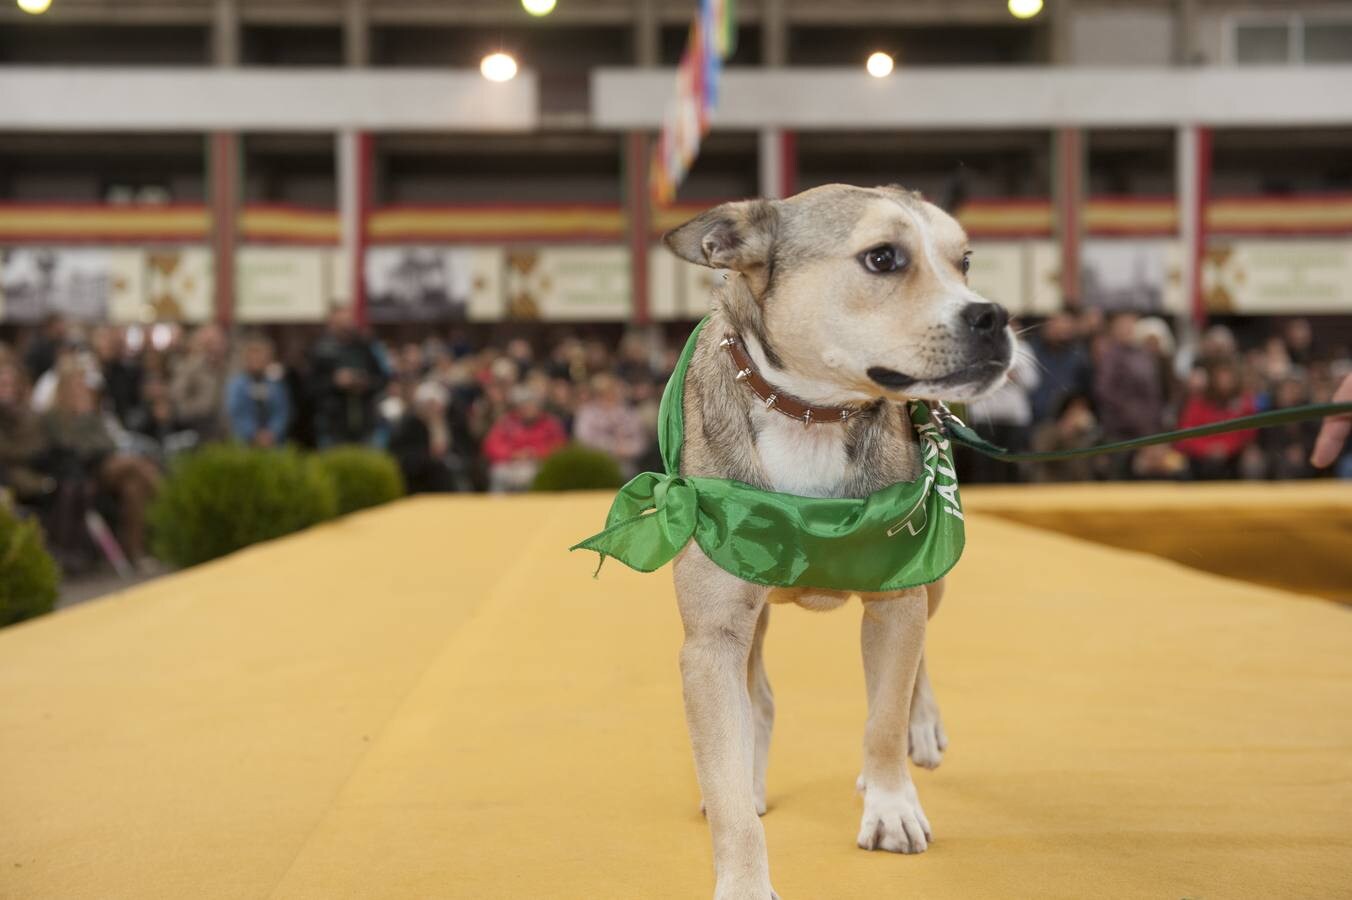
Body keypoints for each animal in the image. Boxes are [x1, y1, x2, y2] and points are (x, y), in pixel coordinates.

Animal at [665, 183, 1016, 897]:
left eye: (964, 261)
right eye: (882, 258)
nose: (992, 315)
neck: (811, 412)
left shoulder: (899, 599)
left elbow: (883, 717)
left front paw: (890, 807)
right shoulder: (712, 639)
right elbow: (726, 775)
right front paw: (743, 875)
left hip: (934, 577)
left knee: (914, 669)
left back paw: (922, 729)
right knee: (758, 699)